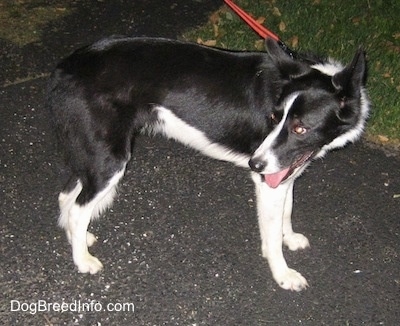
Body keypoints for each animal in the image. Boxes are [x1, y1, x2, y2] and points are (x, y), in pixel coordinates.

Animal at [48, 37, 370, 292]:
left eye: (300, 128)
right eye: (274, 118)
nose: (253, 164)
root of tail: (65, 68)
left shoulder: (283, 169)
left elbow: (287, 211)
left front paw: (288, 237)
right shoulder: (268, 177)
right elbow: (271, 235)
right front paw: (283, 274)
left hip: (95, 155)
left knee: (67, 196)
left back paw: (78, 239)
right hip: (111, 159)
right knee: (78, 208)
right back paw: (82, 261)